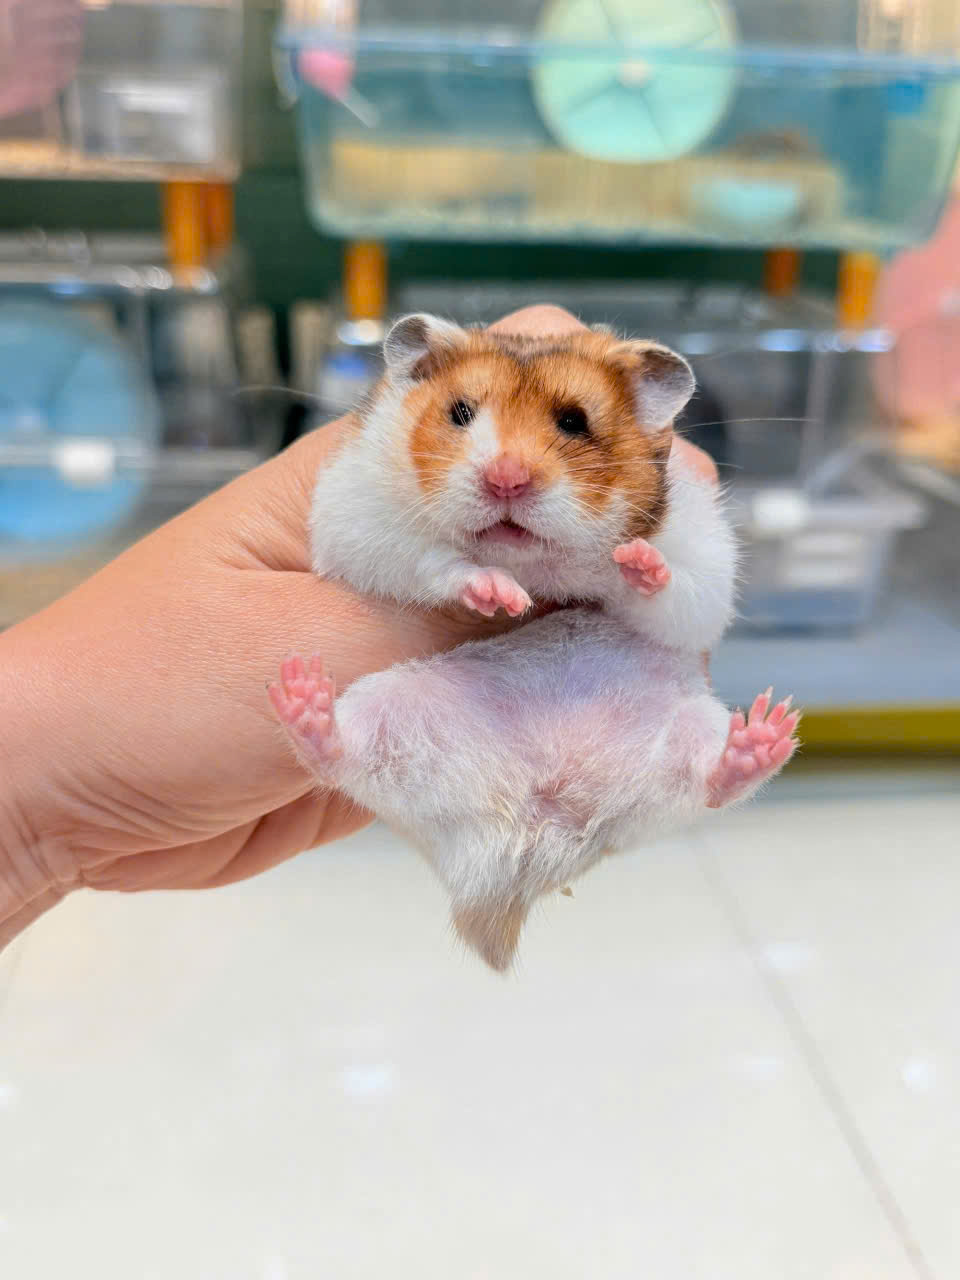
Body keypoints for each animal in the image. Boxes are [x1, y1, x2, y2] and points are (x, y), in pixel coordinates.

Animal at [270, 314, 799, 971]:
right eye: (461, 412)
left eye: (574, 421)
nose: (506, 479)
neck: (538, 563)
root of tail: (528, 841)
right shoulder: (356, 519)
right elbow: (436, 561)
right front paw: (499, 595)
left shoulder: (707, 554)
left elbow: (677, 589)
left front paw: (635, 563)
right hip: (389, 711)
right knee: (340, 754)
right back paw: (302, 697)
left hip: (684, 736)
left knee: (712, 782)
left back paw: (765, 735)